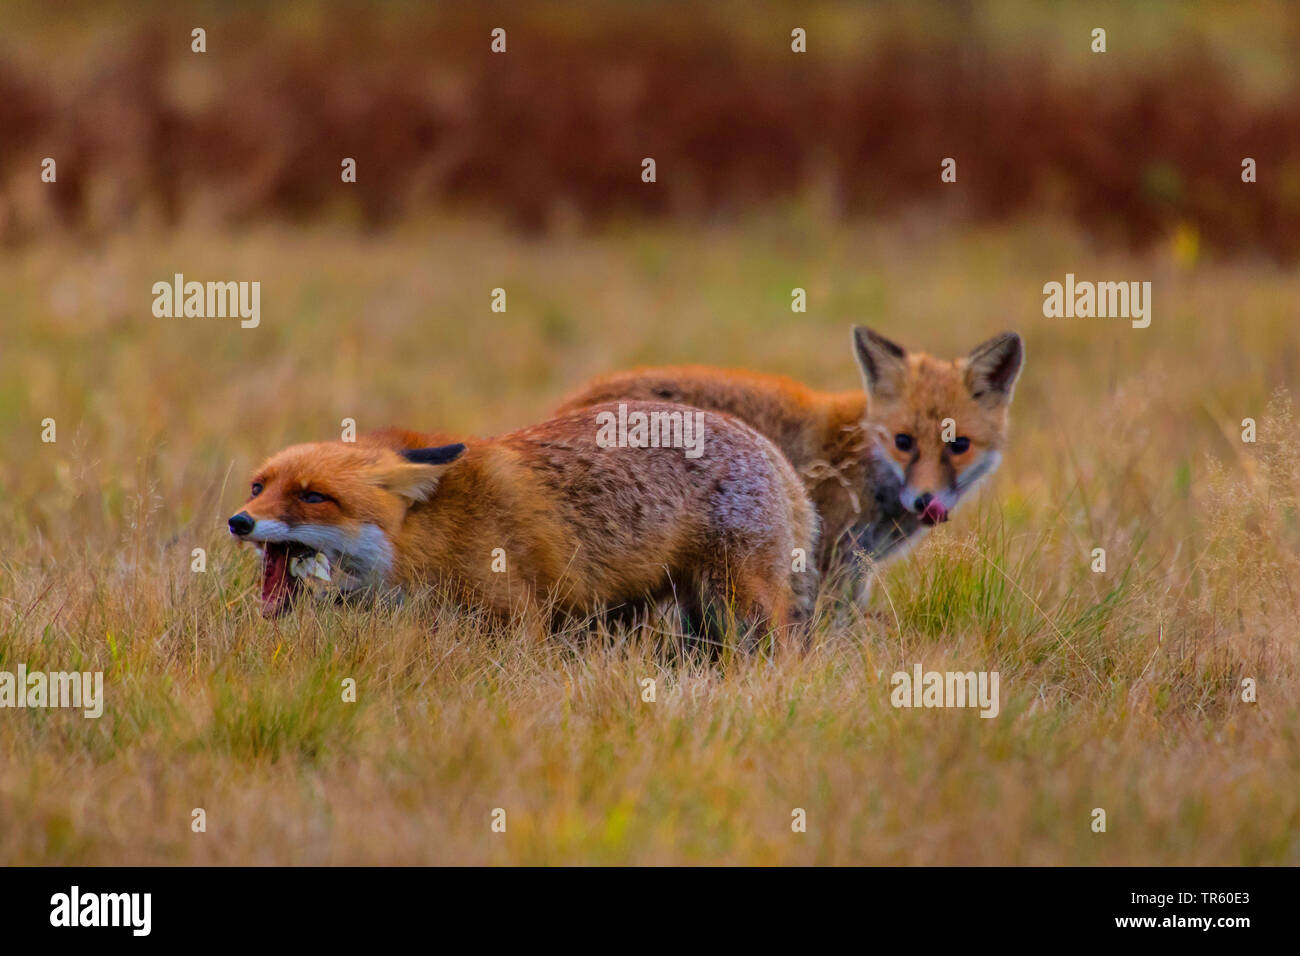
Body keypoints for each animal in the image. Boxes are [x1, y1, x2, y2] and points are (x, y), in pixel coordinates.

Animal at [223, 400, 811, 639]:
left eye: (312, 496)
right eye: (258, 487)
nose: (239, 522)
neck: (433, 531)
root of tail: (772, 452)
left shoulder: (514, 615)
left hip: (735, 602)